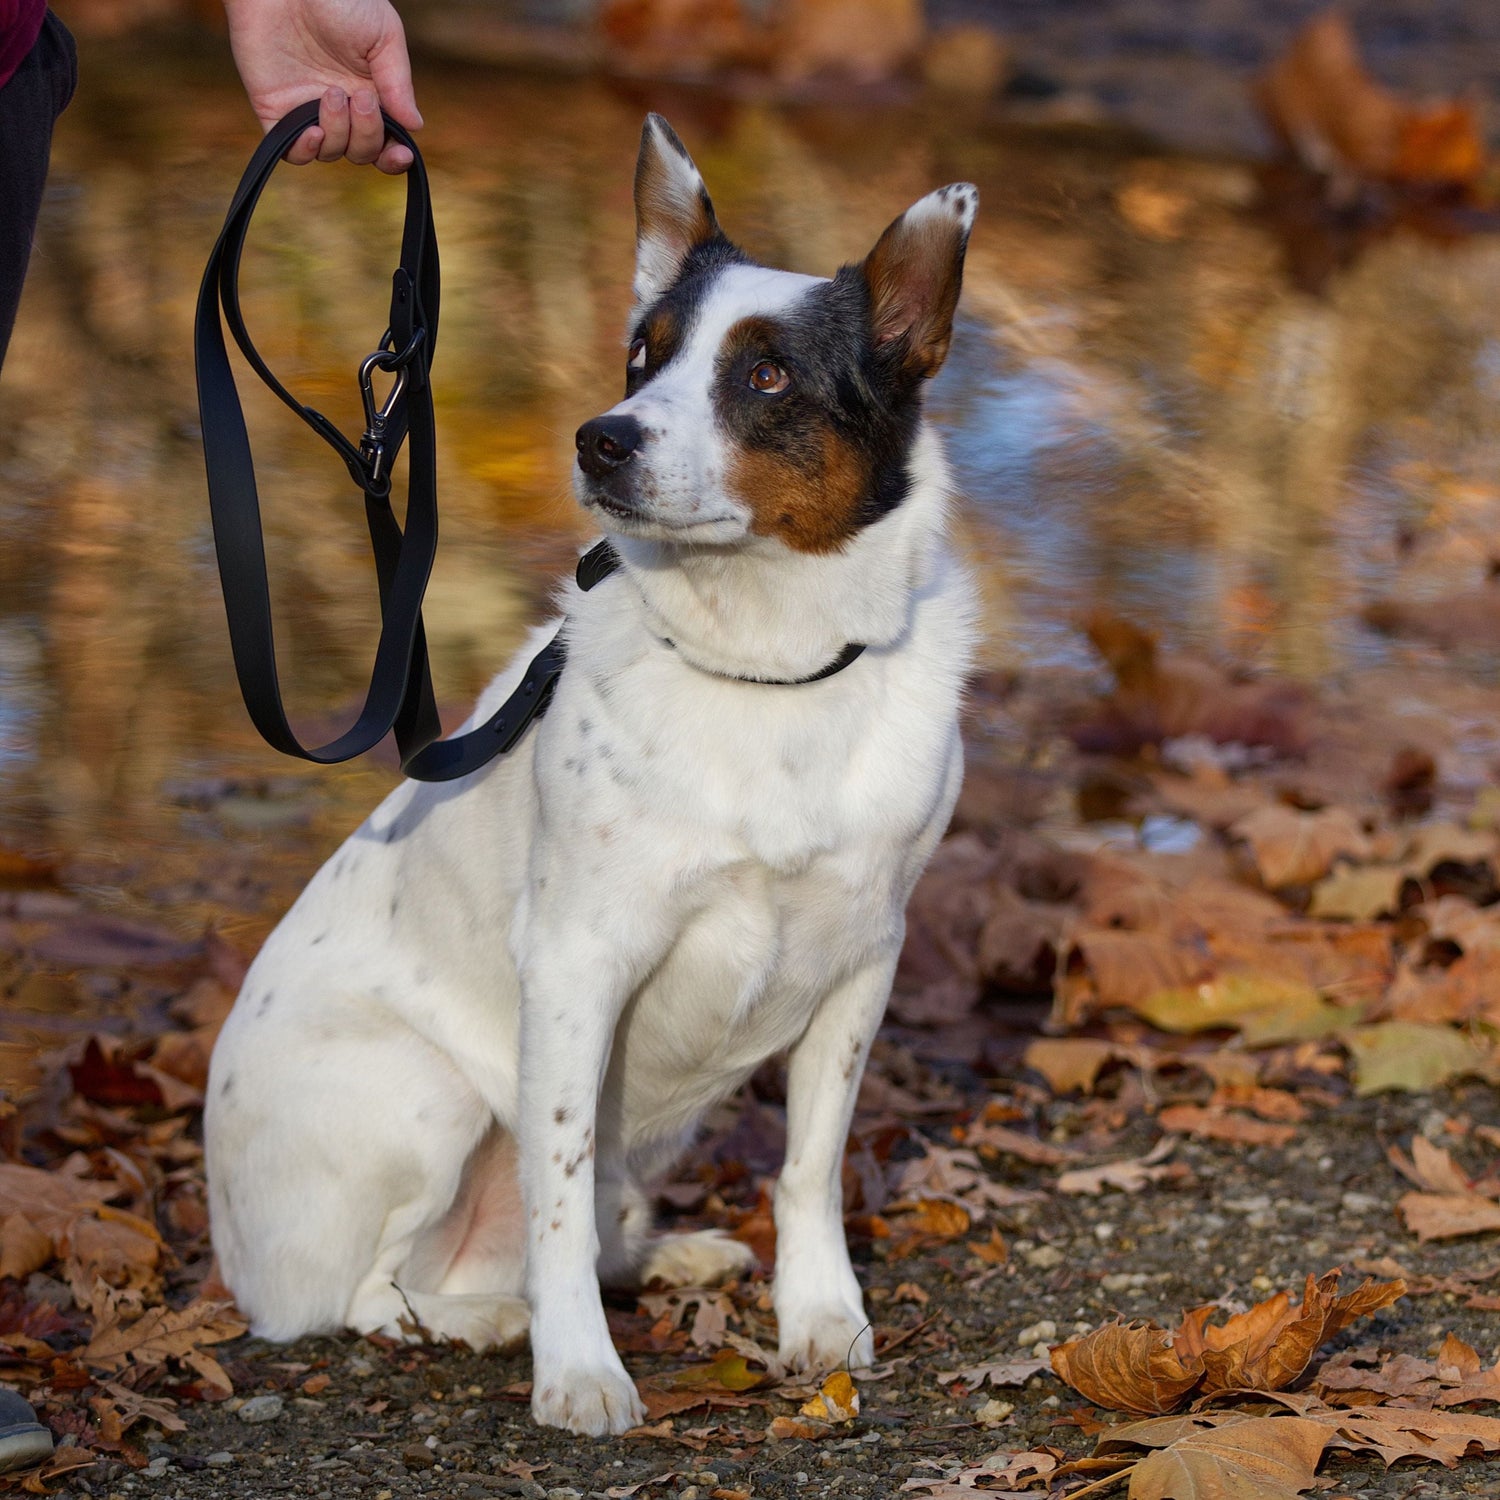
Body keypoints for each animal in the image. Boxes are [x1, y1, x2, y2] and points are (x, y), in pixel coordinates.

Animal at [205, 114, 978, 1428]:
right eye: (641, 355)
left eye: (767, 376)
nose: (600, 438)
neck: (765, 668)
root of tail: (226, 1250)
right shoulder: (575, 967)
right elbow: (557, 1186)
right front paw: (577, 1369)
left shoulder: (862, 963)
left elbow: (809, 1165)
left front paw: (817, 1313)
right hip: (433, 1098)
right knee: (372, 1293)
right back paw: (488, 1321)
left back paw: (662, 1255)